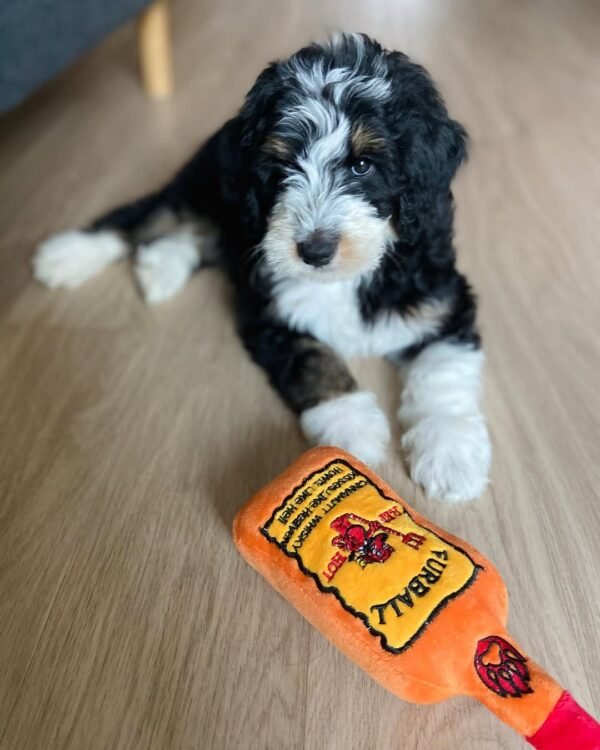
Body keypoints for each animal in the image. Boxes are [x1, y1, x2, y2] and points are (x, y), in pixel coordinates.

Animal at [34, 35, 492, 506]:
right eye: (284, 166)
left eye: (362, 165)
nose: (314, 251)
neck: (347, 279)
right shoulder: (271, 310)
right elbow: (313, 358)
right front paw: (352, 426)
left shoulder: (441, 298)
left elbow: (442, 370)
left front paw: (452, 457)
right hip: (203, 189)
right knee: (145, 217)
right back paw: (67, 255)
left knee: (195, 237)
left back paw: (159, 266)